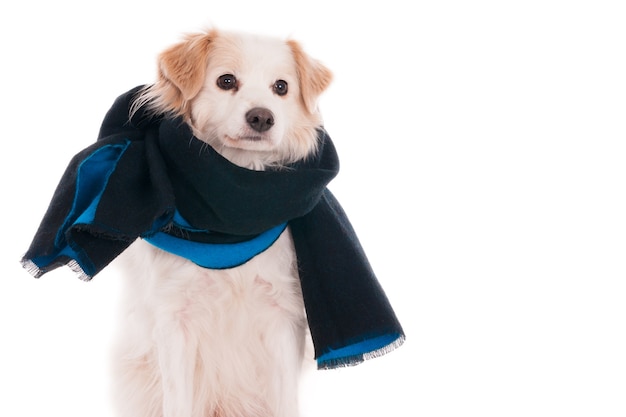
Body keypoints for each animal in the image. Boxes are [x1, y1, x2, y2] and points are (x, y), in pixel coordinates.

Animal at [111, 29, 332, 416]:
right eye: (226, 81)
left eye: (281, 87)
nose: (262, 117)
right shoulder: (175, 319)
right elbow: (178, 400)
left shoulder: (282, 315)